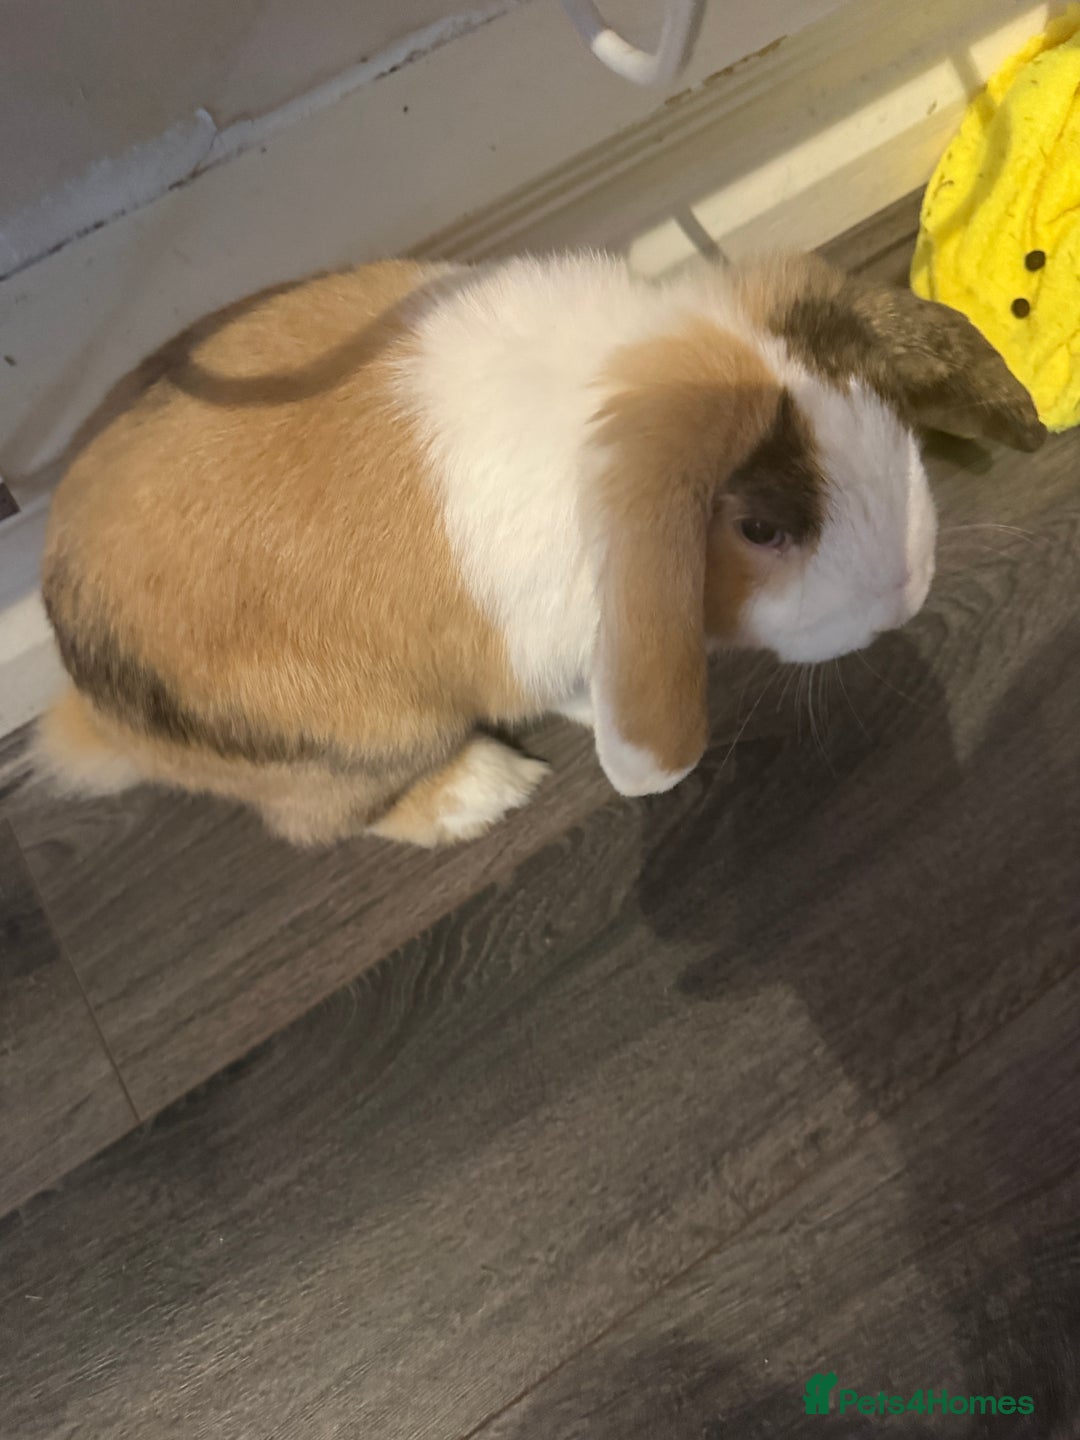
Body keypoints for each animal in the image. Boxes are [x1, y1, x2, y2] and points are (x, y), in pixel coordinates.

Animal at [36, 248, 1044, 847]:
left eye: (883, 405)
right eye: (761, 528)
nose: (908, 591)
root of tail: (92, 713)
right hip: (358, 740)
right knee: (334, 820)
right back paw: (486, 790)